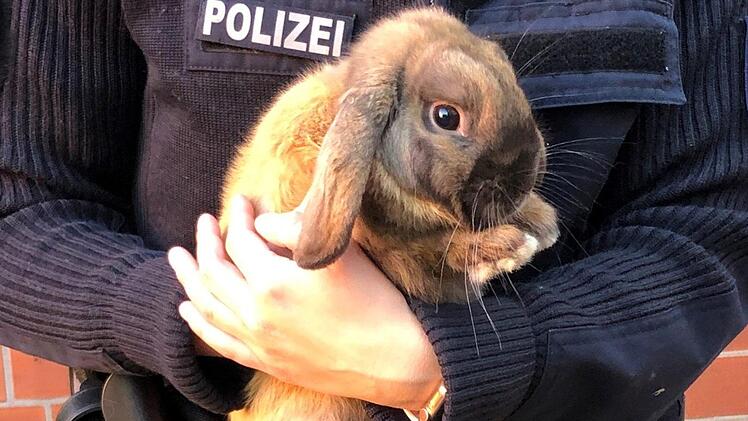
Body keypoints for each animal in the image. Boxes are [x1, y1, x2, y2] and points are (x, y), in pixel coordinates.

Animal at [218, 7, 559, 421]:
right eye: (446, 116)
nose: (527, 176)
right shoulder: (400, 258)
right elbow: (437, 259)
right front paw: (510, 247)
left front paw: (540, 219)